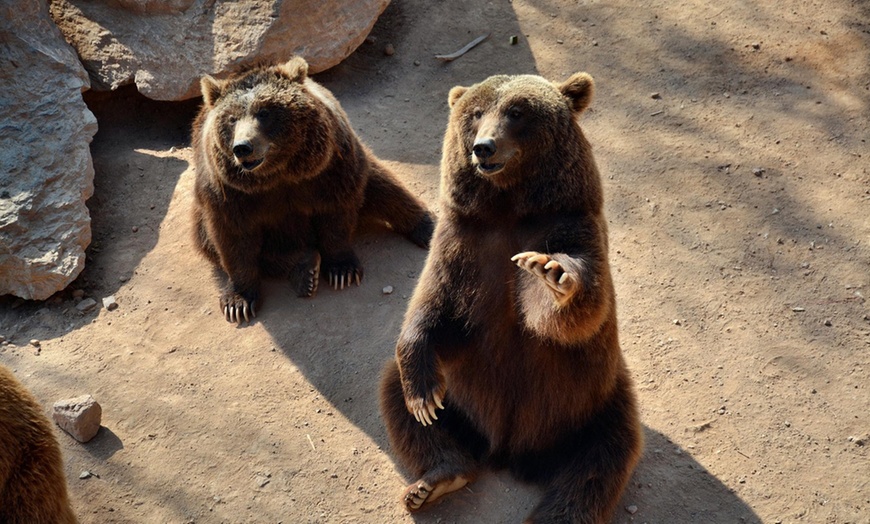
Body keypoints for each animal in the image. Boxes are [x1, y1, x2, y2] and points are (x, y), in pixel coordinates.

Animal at [192, 56, 436, 320]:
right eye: (232, 118)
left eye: (264, 112)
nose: (243, 147)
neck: (278, 174)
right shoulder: (231, 194)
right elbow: (233, 239)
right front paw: (238, 302)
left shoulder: (328, 170)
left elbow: (336, 216)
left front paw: (342, 270)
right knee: (221, 244)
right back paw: (305, 268)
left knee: (386, 188)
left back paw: (427, 227)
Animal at [378, 70, 644, 524]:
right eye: (476, 113)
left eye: (517, 111)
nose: (483, 147)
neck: (508, 209)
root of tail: (508, 452)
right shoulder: (461, 242)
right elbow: (431, 307)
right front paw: (423, 397)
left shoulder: (571, 224)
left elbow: (572, 314)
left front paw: (551, 273)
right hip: (462, 401)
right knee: (399, 398)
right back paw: (435, 480)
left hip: (593, 401)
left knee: (601, 458)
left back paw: (556, 514)